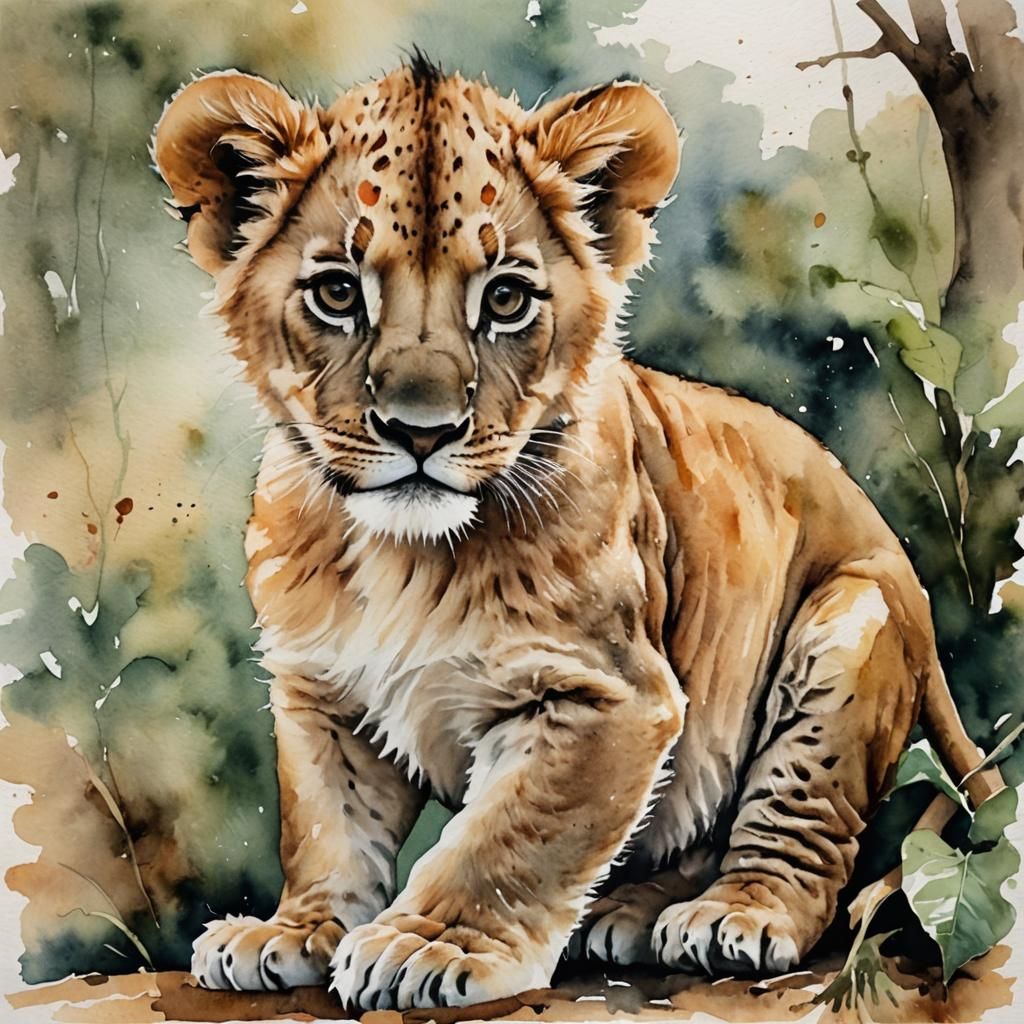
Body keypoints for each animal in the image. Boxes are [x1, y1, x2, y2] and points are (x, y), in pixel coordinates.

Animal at [153, 55, 997, 1010]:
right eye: (337, 291)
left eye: (507, 298)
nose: (420, 431)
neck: (399, 553)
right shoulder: (321, 691)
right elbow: (328, 825)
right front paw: (296, 930)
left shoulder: (609, 694)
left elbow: (510, 834)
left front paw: (429, 944)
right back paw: (626, 915)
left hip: (848, 626)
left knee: (801, 833)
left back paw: (731, 916)